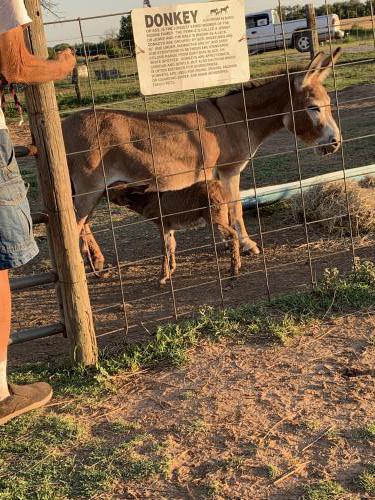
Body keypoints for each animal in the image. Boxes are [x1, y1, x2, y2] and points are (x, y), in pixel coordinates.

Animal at [108, 182, 244, 288]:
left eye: (112, 189)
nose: (104, 190)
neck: (148, 200)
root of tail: (220, 186)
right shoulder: (169, 227)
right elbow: (172, 245)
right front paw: (171, 270)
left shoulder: (162, 224)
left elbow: (164, 248)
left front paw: (162, 277)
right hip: (224, 215)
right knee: (234, 232)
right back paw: (237, 264)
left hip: (214, 217)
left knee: (232, 235)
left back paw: (234, 273)